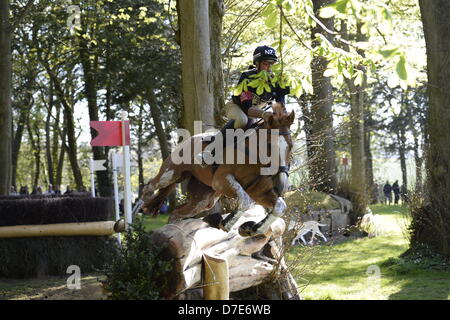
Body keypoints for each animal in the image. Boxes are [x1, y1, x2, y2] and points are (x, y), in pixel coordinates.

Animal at [142, 103, 296, 238]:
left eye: (291, 146)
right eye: (269, 145)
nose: (282, 186)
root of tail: (187, 140)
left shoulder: (260, 193)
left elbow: (280, 206)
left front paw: (252, 229)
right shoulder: (221, 179)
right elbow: (245, 200)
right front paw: (227, 223)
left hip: (203, 200)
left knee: (177, 212)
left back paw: (173, 232)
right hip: (171, 174)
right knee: (151, 185)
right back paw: (141, 207)